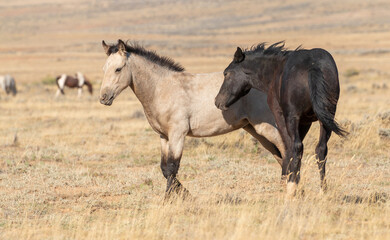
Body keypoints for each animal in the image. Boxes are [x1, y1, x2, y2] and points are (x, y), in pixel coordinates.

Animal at [99, 39, 284, 197]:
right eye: (104, 69)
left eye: (118, 69)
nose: (103, 98)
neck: (163, 88)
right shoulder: (164, 137)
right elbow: (164, 168)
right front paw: (183, 193)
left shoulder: (177, 135)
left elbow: (172, 167)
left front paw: (171, 198)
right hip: (255, 129)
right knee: (278, 154)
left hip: (266, 127)